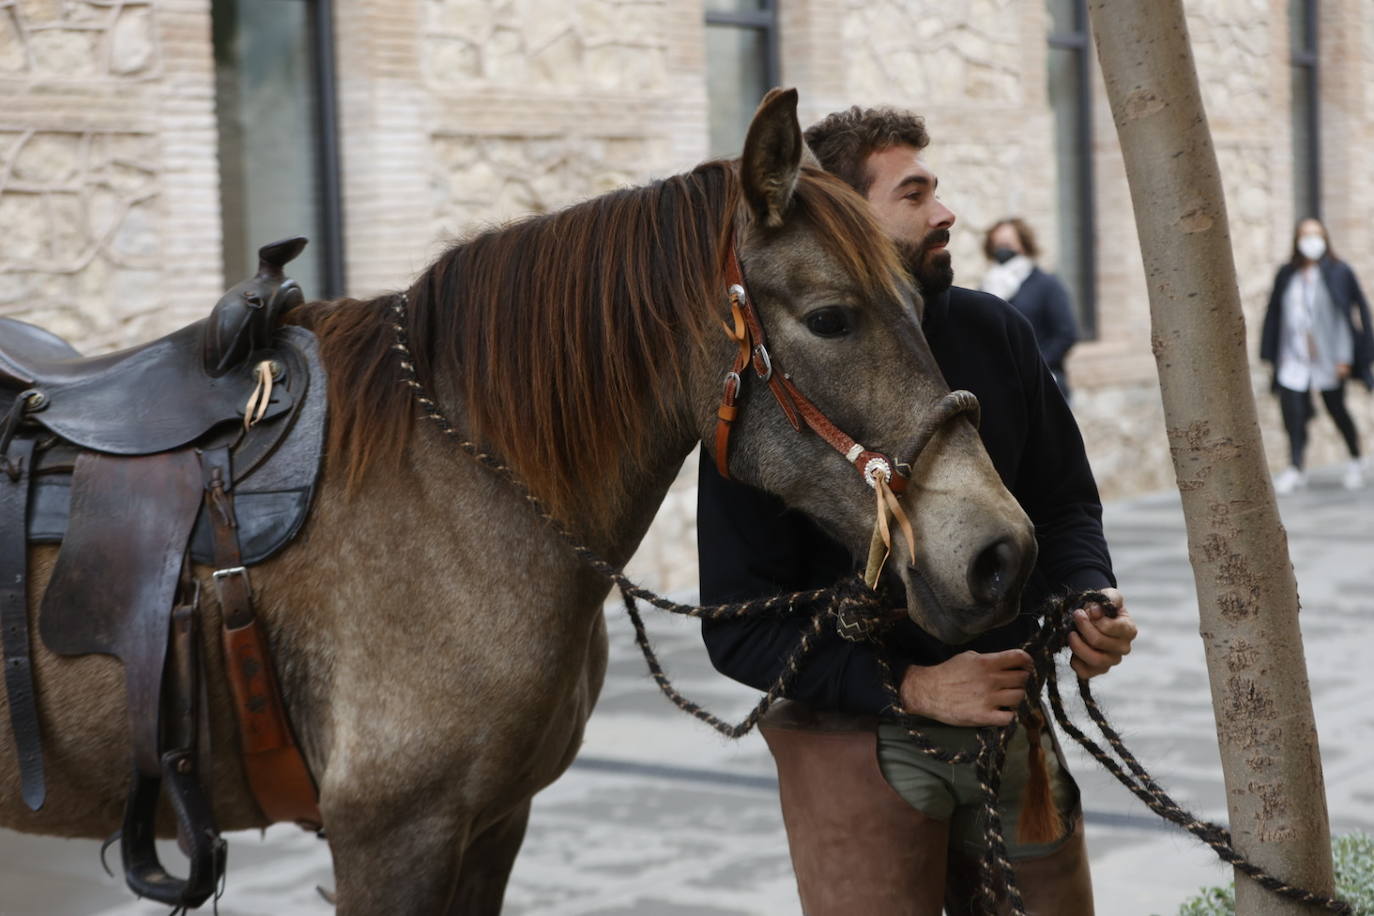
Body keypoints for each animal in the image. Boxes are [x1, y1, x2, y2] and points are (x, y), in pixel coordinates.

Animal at [0, 91, 1033, 916]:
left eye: (920, 299)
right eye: (830, 318)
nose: (1002, 552)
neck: (450, 488)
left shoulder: (492, 825)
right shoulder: (391, 838)